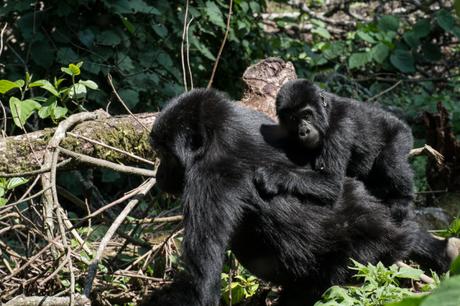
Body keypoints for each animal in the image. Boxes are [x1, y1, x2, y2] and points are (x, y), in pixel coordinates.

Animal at [256, 78, 416, 222]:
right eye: (293, 119)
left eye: (306, 115)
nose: (304, 131)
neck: (327, 113)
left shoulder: (339, 128)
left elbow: (331, 181)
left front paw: (274, 175)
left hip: (401, 133)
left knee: (390, 161)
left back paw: (402, 200)